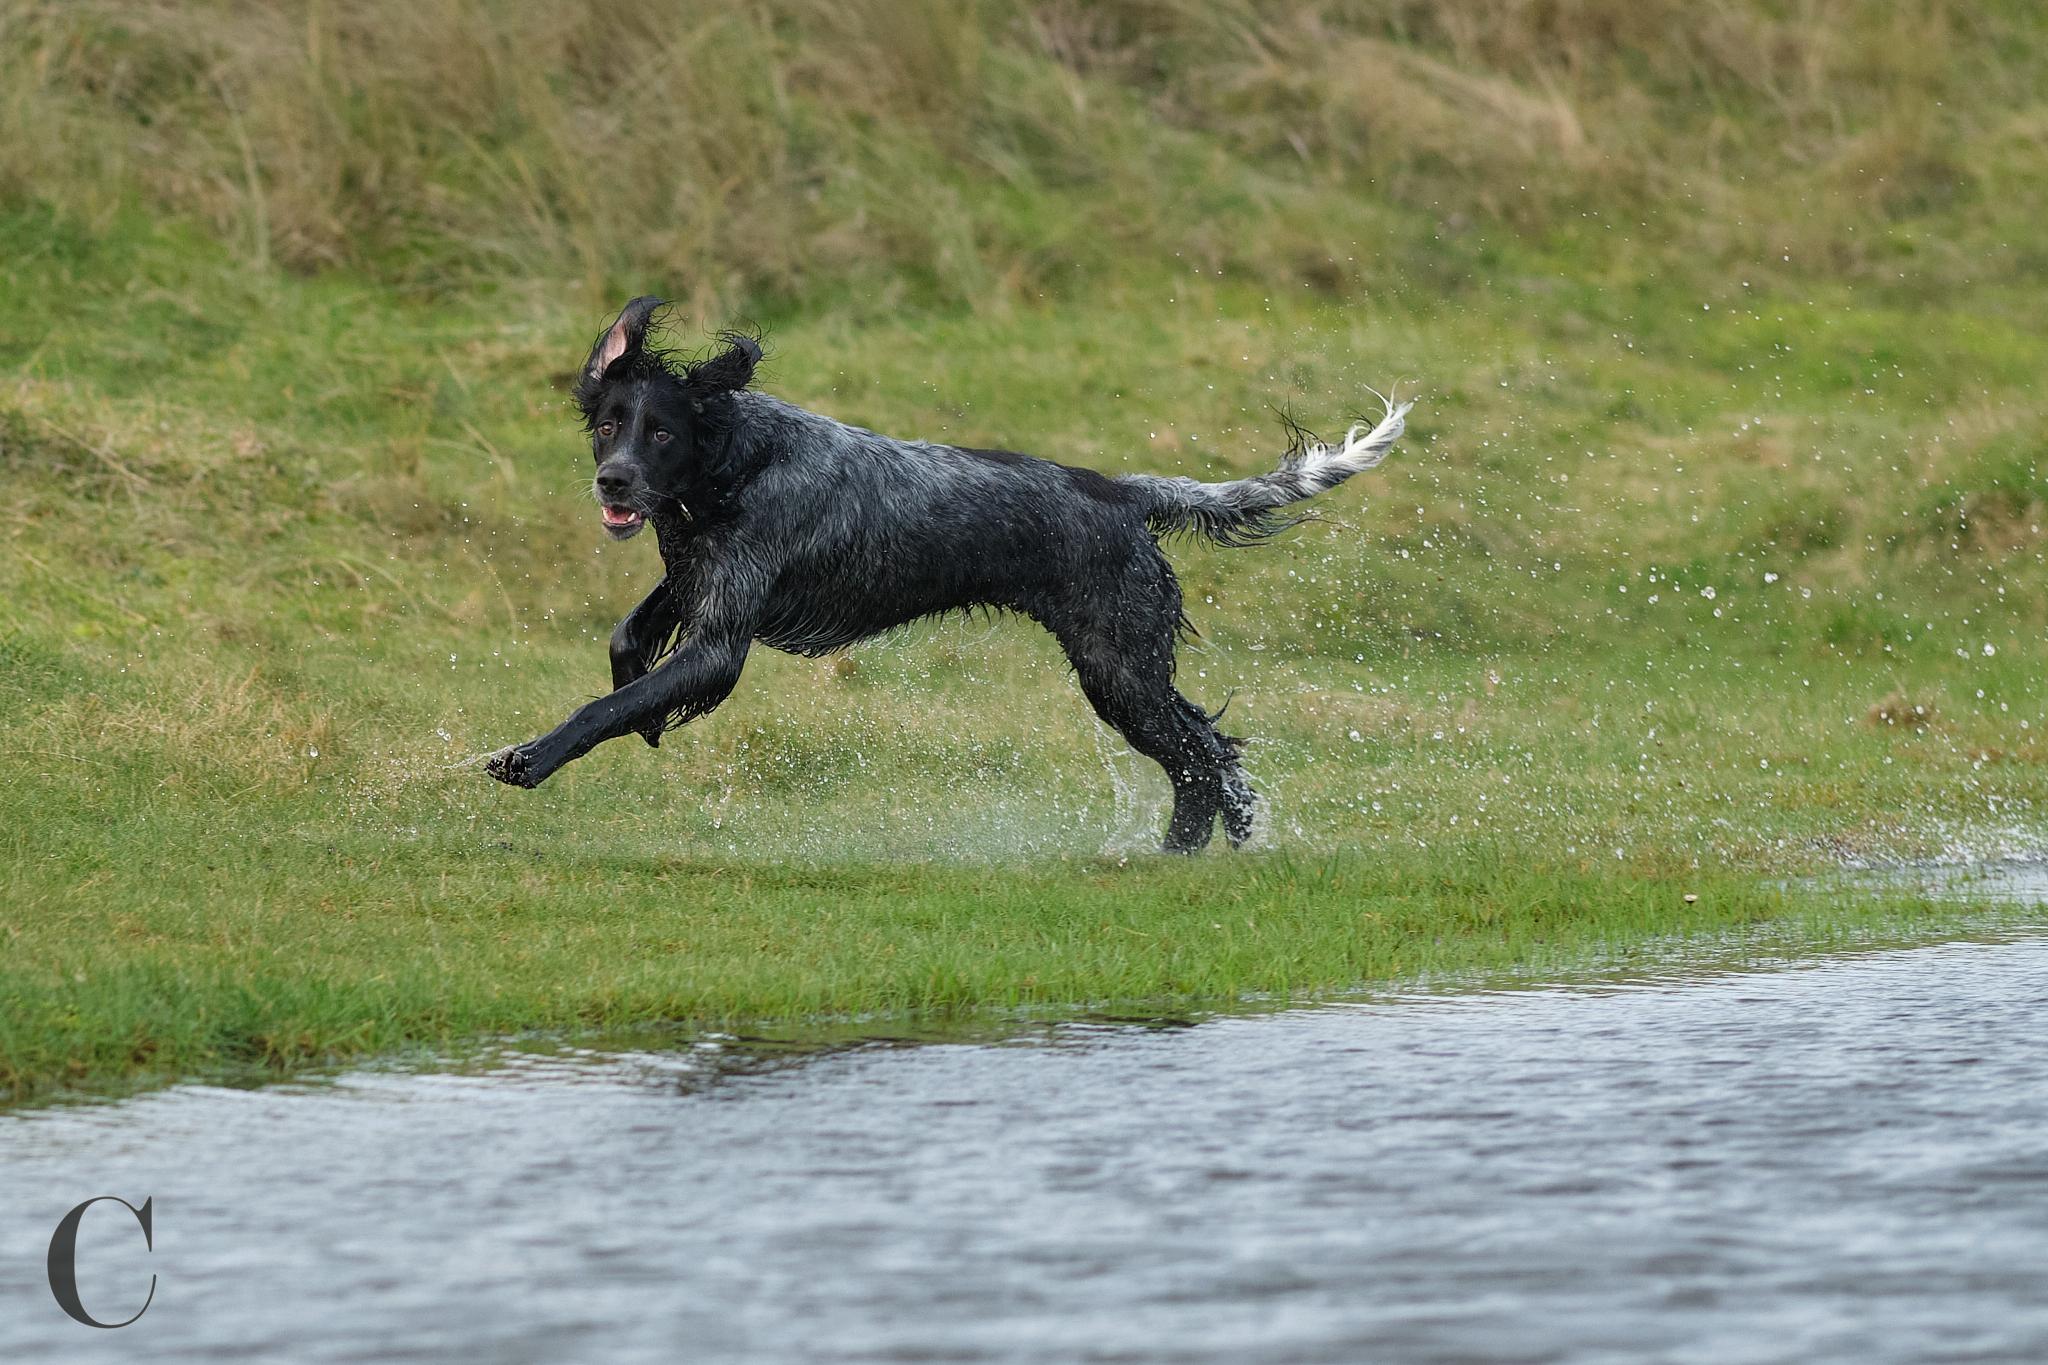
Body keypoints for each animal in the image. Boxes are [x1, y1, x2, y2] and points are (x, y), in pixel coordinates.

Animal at [491, 300, 1409, 855]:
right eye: (609, 424)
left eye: (662, 432)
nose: (613, 482)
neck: (731, 462)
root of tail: (1121, 490)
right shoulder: (697, 582)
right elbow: (628, 642)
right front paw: (641, 710)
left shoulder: (722, 639)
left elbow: (603, 706)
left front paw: (528, 757)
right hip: (1128, 665)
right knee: (1208, 749)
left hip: (1116, 666)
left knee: (1201, 755)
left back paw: (1190, 850)